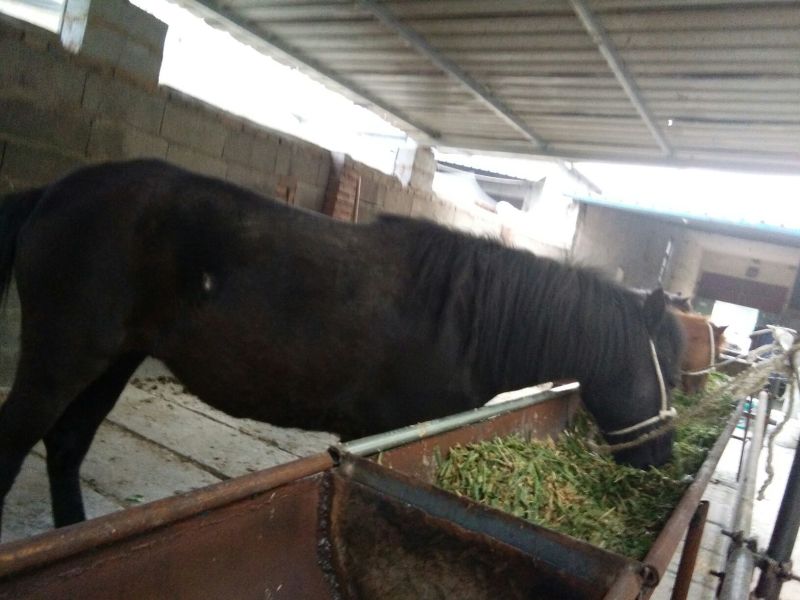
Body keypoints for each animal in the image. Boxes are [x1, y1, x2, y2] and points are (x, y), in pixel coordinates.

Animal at [0, 159, 684, 534]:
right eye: (669, 370)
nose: (661, 459)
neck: (464, 319)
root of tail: (54, 192)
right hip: (63, 359)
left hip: (113, 361)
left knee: (65, 447)